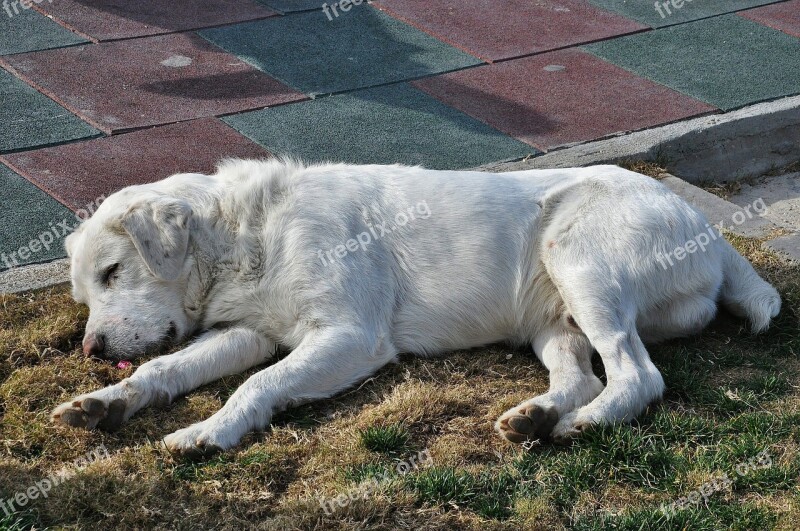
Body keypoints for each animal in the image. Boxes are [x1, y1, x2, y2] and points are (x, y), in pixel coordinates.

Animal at [51, 159, 780, 458]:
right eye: (86, 295)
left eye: (115, 272)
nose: (91, 349)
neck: (245, 234)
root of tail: (713, 231)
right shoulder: (248, 330)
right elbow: (165, 370)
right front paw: (104, 402)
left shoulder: (350, 335)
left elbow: (258, 384)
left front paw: (212, 431)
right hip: (552, 318)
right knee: (581, 375)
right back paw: (536, 417)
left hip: (579, 258)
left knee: (637, 375)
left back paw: (587, 424)